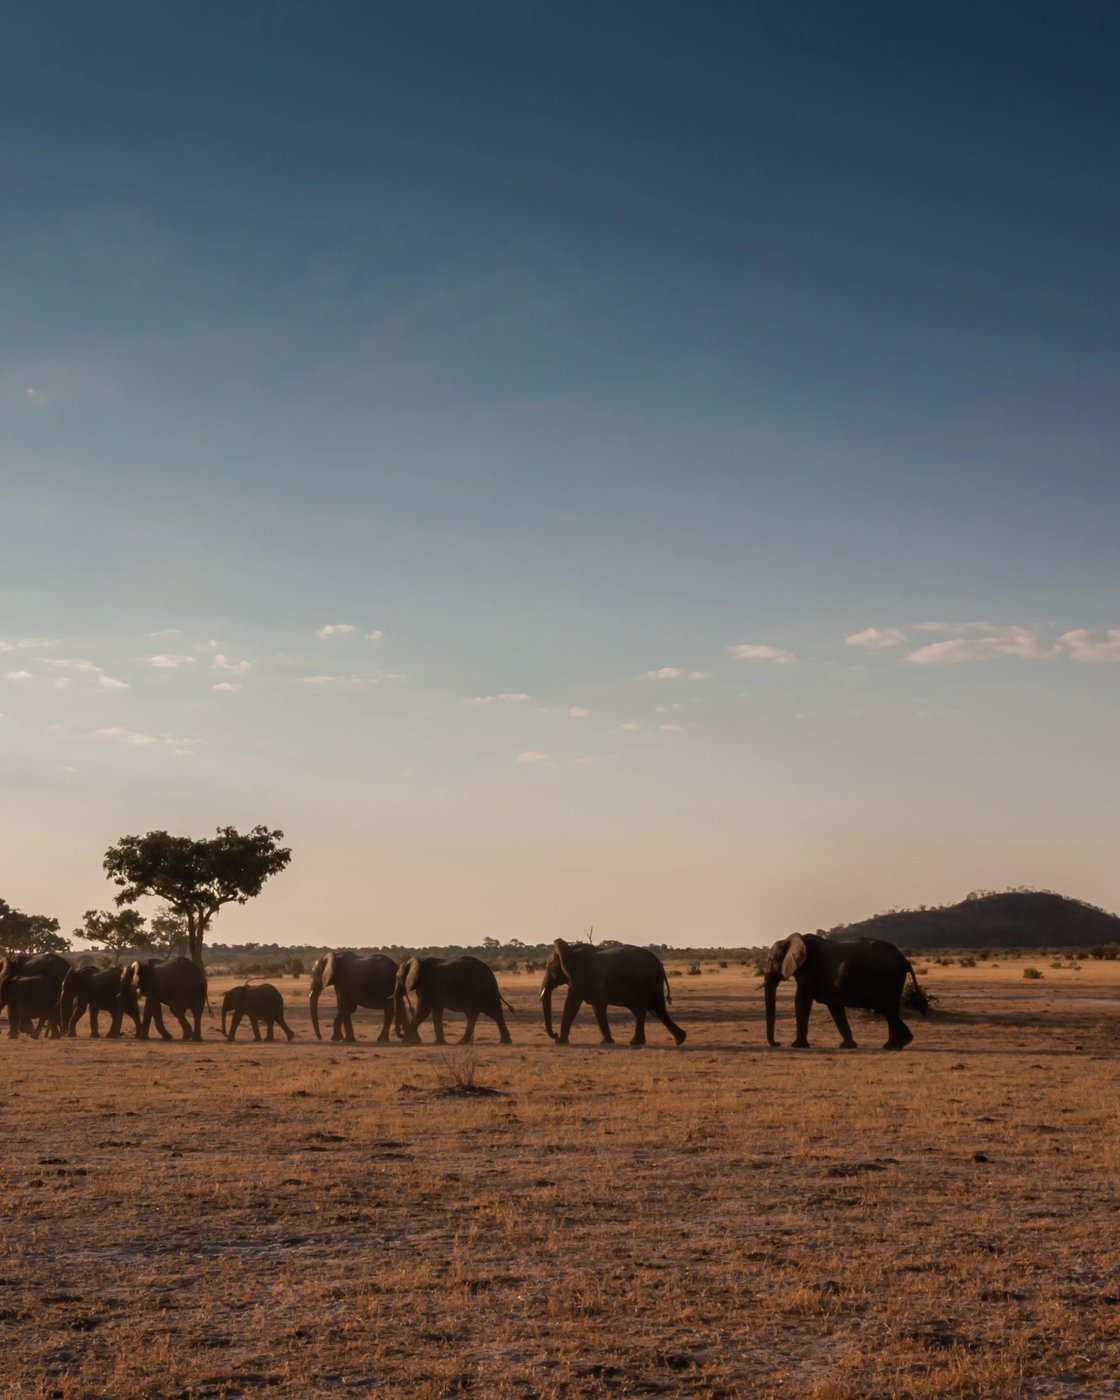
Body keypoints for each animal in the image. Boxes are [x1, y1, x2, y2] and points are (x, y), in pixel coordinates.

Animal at [541, 939, 686, 1047]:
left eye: (551, 969)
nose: (555, 1034)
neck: (570, 950)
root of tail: (658, 964)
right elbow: (598, 1008)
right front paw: (606, 1042)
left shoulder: (578, 980)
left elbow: (572, 1005)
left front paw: (559, 1042)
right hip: (654, 984)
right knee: (658, 1010)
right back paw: (680, 1040)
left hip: (642, 983)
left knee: (641, 1011)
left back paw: (634, 1043)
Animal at [763, 933, 929, 1050]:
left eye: (771, 960)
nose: (778, 1043)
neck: (791, 940)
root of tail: (904, 959)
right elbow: (834, 1007)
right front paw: (847, 1046)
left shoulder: (810, 970)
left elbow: (801, 1001)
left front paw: (797, 1046)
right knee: (889, 1009)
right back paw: (898, 1044)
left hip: (888, 979)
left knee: (887, 1008)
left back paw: (896, 1045)